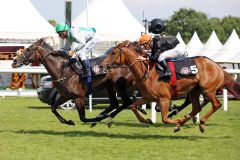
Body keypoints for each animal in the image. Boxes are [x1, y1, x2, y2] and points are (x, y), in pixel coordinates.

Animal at [102, 40, 240, 132]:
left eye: (113, 53)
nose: (102, 65)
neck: (146, 71)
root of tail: (218, 67)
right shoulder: (148, 97)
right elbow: (133, 106)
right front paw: (147, 120)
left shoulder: (164, 98)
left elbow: (164, 119)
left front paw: (175, 119)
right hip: (194, 91)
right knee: (196, 108)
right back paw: (183, 121)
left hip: (208, 90)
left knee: (216, 104)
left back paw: (199, 123)